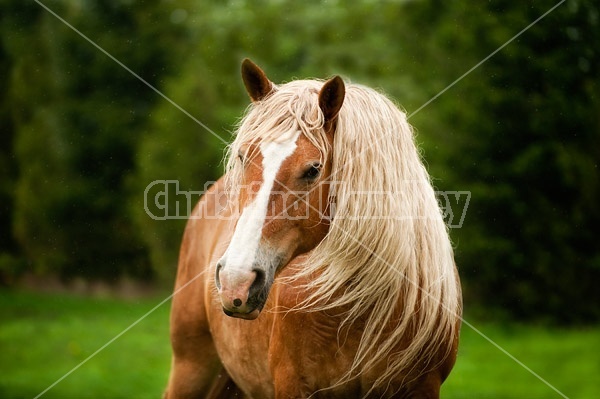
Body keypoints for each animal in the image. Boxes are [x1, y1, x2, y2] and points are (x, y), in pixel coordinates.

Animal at [162, 57, 462, 398]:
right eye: (242, 156)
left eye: (313, 169)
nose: (235, 281)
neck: (358, 311)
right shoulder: (293, 384)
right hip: (191, 368)